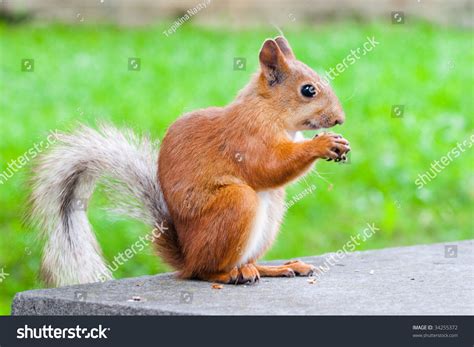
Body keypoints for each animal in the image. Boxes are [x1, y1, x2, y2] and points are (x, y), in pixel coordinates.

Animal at [28, 36, 348, 286]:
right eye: (308, 90)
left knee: (246, 261)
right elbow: (267, 167)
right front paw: (322, 144)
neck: (269, 110)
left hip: (270, 217)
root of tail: (188, 258)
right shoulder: (246, 138)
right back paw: (229, 274)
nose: (339, 119)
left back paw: (275, 268)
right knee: (204, 272)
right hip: (236, 205)